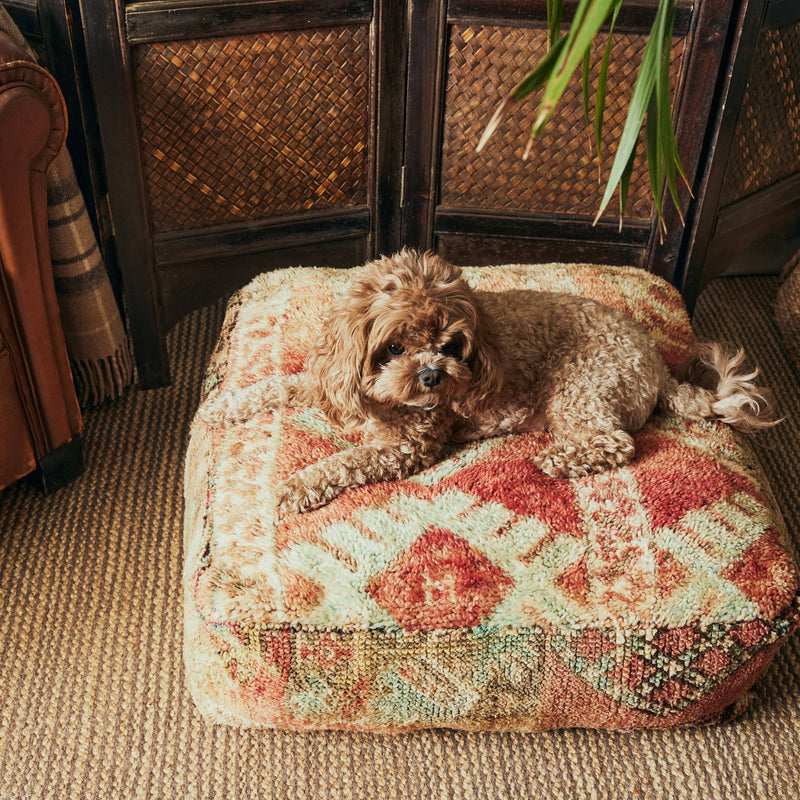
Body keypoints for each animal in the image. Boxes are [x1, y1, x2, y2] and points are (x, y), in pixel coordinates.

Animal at [197, 247, 780, 516]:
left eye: (451, 345)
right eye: (394, 346)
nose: (433, 376)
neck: (384, 402)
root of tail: (658, 365)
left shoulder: (406, 447)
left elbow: (341, 462)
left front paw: (292, 486)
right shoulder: (327, 381)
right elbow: (283, 383)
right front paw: (223, 406)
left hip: (581, 389)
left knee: (617, 442)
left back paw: (558, 458)